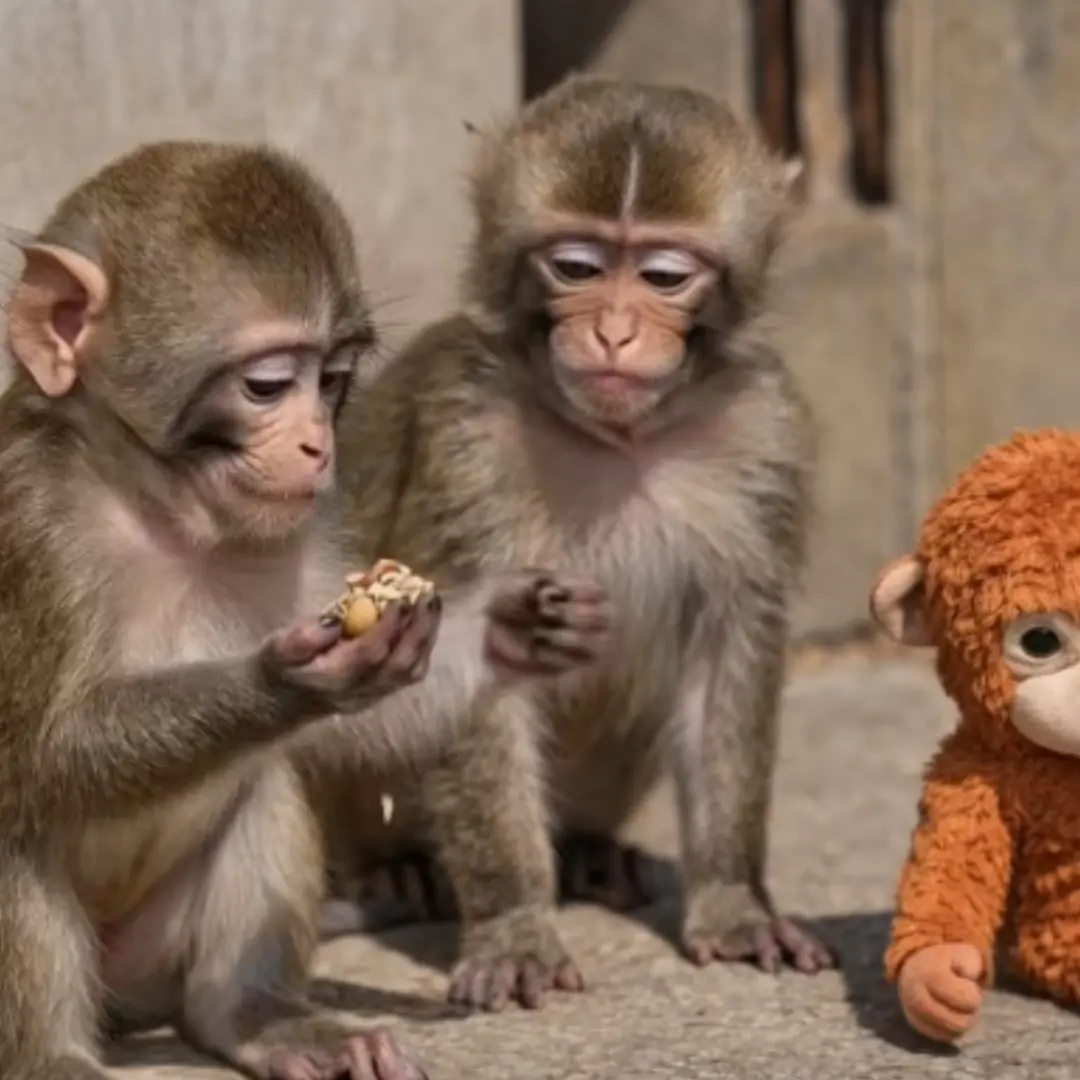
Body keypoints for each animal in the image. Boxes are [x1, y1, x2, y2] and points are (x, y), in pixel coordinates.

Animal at [0, 140, 611, 1080]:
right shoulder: (31, 530)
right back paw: (52, 1060)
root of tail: (125, 1007)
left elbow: (343, 742)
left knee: (263, 783)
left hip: (152, 958)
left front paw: (511, 631)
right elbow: (41, 756)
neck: (161, 512)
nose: (317, 444)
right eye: (265, 386)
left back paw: (252, 1016)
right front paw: (282, 684)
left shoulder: (309, 522)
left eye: (333, 381)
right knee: (19, 833)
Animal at [319, 75, 837, 1014]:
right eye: (577, 267)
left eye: (664, 275)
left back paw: (596, 854)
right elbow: (467, 654)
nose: (615, 332)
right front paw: (514, 923)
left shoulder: (765, 432)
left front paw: (733, 898)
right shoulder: (466, 437)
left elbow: (728, 650)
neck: (618, 438)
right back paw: (398, 872)